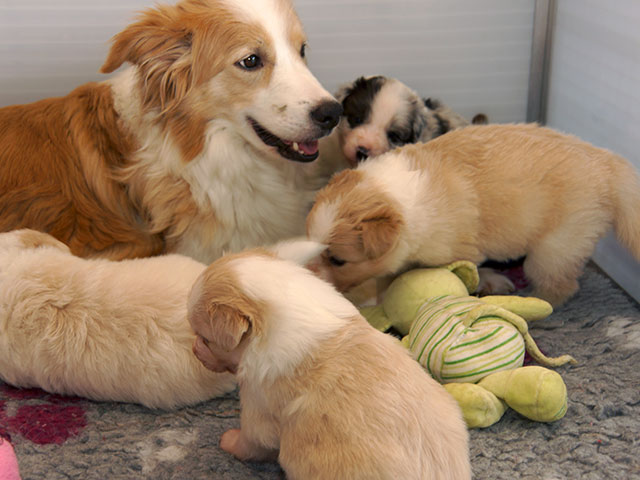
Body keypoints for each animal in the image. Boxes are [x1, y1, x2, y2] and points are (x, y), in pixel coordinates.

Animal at [306, 123, 640, 306]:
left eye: (338, 260)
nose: (309, 276)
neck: (395, 192)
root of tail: (609, 163)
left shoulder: (453, 251)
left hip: (556, 246)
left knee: (561, 286)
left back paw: (532, 300)